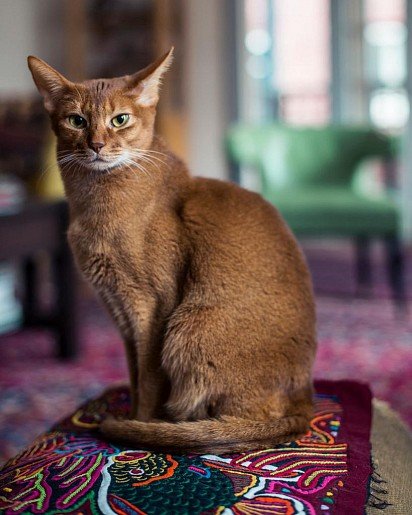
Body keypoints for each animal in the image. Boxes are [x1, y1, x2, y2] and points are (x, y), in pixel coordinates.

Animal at [29, 47, 318, 452]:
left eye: (120, 119)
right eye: (76, 120)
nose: (96, 145)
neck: (95, 203)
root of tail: (306, 399)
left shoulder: (152, 305)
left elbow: (149, 379)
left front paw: (138, 424)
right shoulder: (119, 309)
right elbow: (134, 376)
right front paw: (136, 416)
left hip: (189, 329)